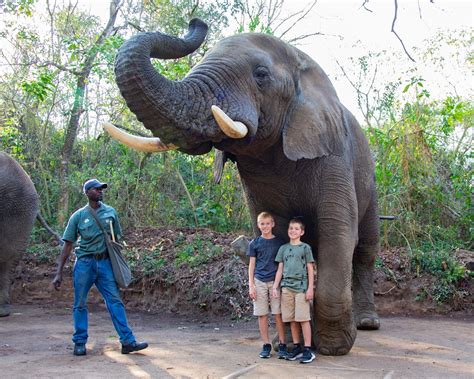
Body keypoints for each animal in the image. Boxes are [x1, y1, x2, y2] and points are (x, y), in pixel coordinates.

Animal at [105, 17, 380, 356]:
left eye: (260, 75)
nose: (196, 22)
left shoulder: (334, 154)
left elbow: (338, 232)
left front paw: (332, 347)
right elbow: (276, 235)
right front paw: (289, 341)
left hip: (370, 179)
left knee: (365, 247)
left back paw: (366, 322)